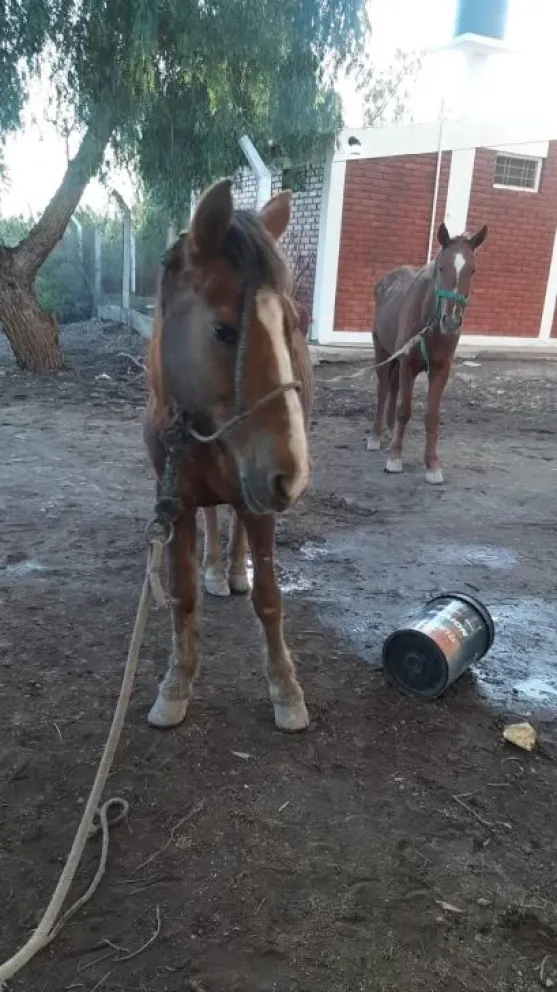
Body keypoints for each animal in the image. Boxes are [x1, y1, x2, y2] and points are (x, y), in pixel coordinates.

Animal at [144, 178, 314, 733]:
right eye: (223, 330)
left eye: (294, 324)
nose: (291, 477)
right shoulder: (173, 501)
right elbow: (182, 595)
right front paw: (177, 682)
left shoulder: (258, 498)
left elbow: (269, 599)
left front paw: (286, 690)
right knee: (216, 517)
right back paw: (218, 569)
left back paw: (235, 570)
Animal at [366, 221, 488, 484]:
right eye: (441, 267)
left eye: (472, 270)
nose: (451, 321)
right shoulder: (408, 365)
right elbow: (404, 410)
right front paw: (395, 460)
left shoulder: (440, 369)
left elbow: (432, 416)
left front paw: (432, 465)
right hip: (382, 352)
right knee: (383, 391)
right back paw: (376, 436)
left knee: (393, 388)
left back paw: (389, 432)